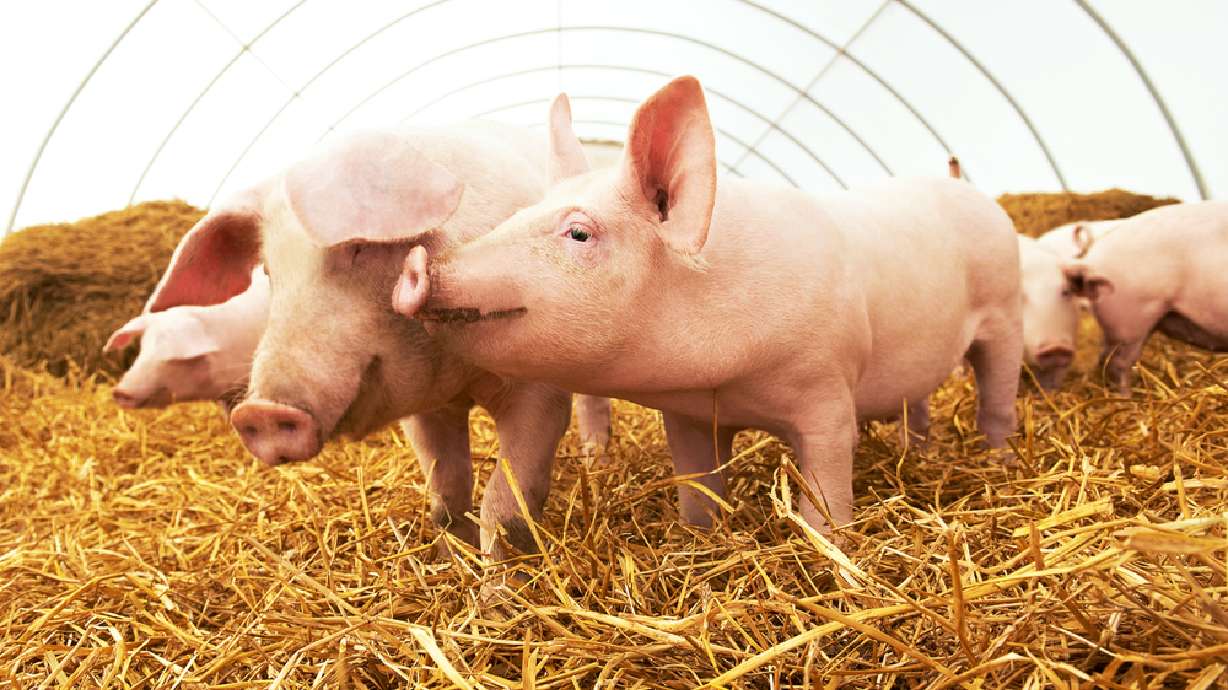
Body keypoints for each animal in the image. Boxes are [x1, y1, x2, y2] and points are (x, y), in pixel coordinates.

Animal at [143, 119, 609, 558]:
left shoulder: (539, 394)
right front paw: (448, 562)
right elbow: (446, 495)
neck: (458, 373)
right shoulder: (427, 411)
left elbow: (506, 508)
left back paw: (595, 456)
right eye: (271, 271)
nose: (260, 412)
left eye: (357, 248)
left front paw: (497, 584)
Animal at [392, 78, 1023, 532]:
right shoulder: (691, 414)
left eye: (579, 233)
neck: (732, 384)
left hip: (1005, 313)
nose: (417, 265)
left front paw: (829, 546)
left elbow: (825, 492)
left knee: (996, 396)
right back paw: (918, 450)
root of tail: (970, 192)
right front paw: (700, 535)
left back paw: (999, 457)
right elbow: (698, 491)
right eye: (518, 213)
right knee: (920, 402)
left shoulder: (827, 390)